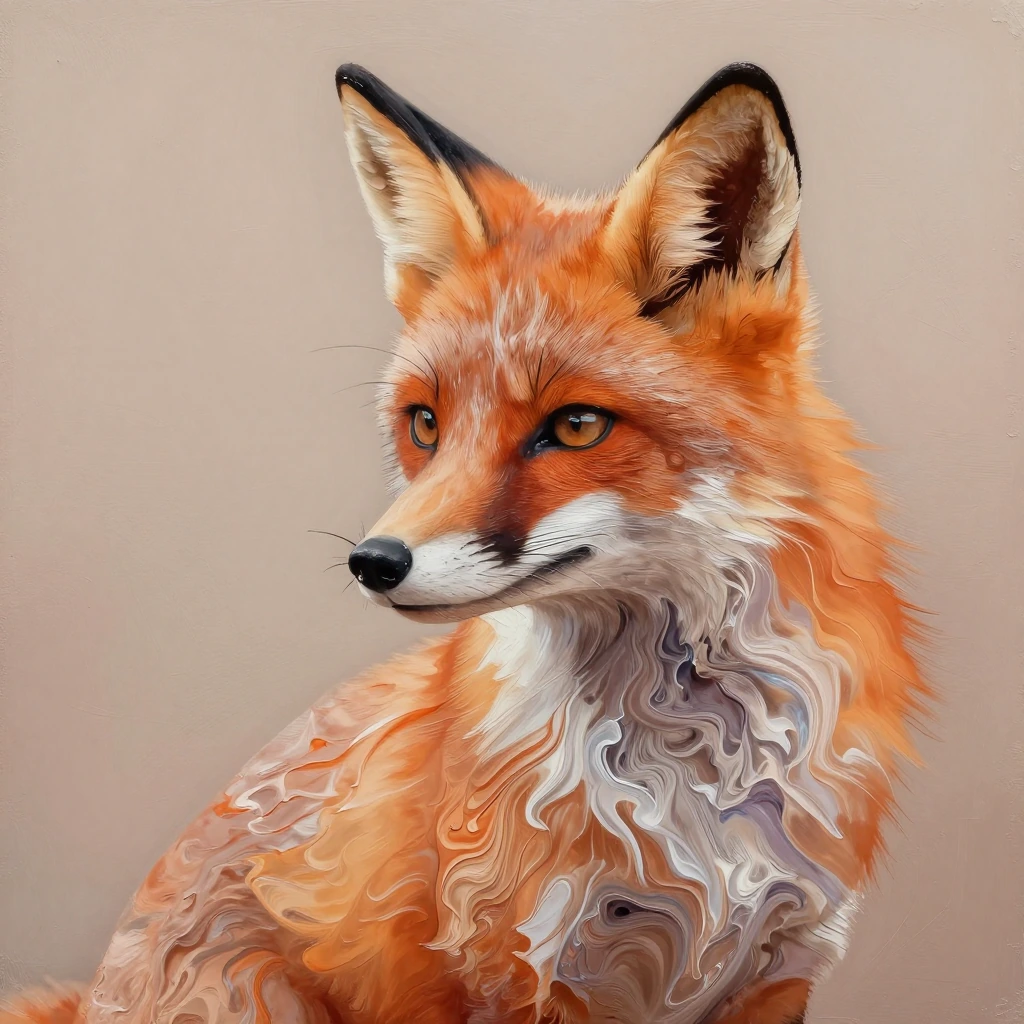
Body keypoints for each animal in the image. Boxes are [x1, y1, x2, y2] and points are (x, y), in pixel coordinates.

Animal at [2, 62, 928, 1024]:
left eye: (577, 426)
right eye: (425, 424)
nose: (373, 562)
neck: (684, 781)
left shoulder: (785, 963)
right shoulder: (520, 972)